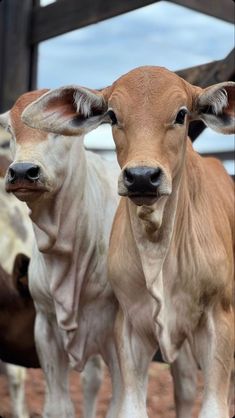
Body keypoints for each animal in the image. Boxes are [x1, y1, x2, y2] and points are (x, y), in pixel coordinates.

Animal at [21, 66, 234, 418]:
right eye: (112, 115)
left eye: (181, 114)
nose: (143, 177)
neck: (156, 247)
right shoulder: (130, 328)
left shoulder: (219, 321)